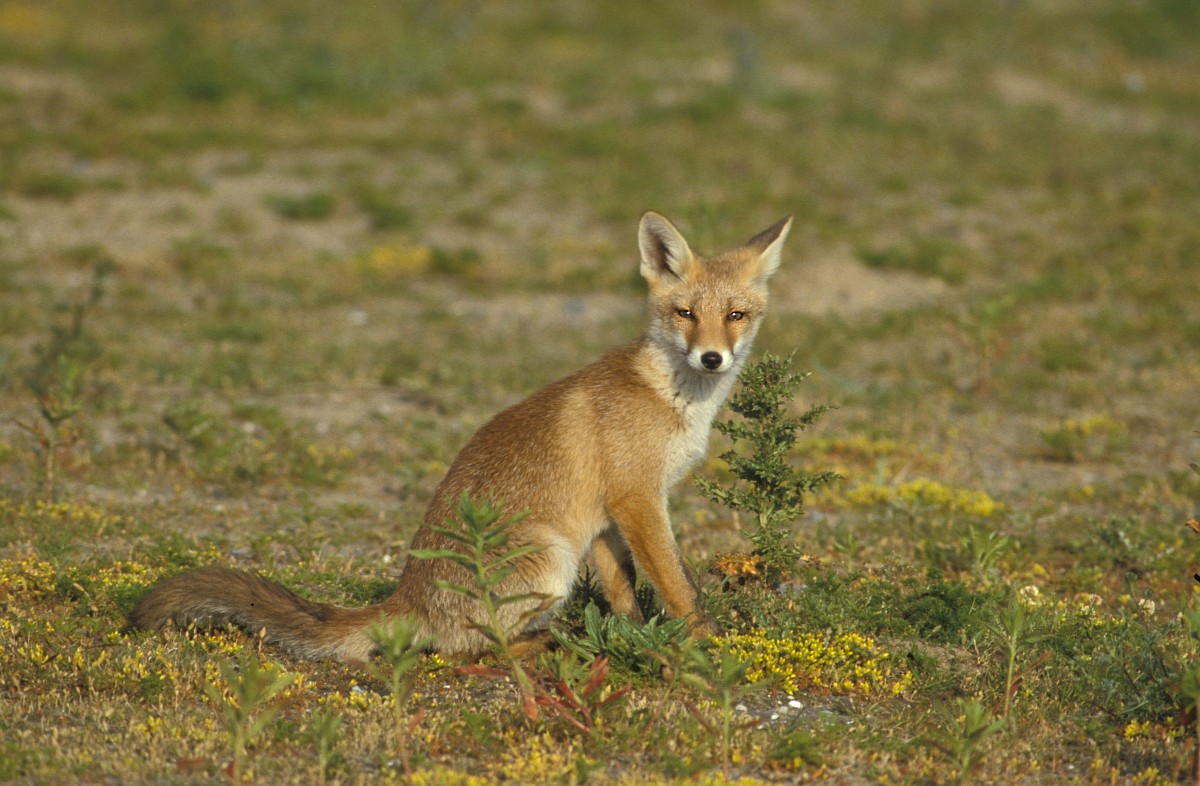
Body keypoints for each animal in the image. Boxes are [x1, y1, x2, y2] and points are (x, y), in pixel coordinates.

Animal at [128, 211, 792, 661]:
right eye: (685, 314)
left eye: (735, 315)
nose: (711, 358)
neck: (670, 398)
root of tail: (407, 597)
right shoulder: (638, 499)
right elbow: (679, 585)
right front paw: (707, 644)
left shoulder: (607, 514)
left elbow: (625, 592)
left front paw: (632, 637)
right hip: (550, 560)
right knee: (467, 647)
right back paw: (547, 644)